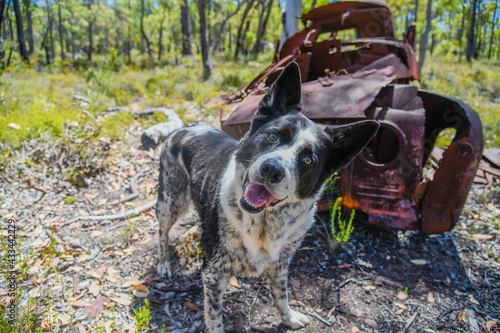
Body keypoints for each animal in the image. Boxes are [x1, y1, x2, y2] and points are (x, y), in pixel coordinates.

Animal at [156, 61, 378, 330]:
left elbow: (281, 296)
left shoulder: (280, 266)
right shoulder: (212, 273)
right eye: (273, 136)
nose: (272, 169)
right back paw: (163, 264)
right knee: (162, 232)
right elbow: (215, 318)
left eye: (308, 159)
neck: (263, 224)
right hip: (171, 200)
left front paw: (290, 318)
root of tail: (186, 127)